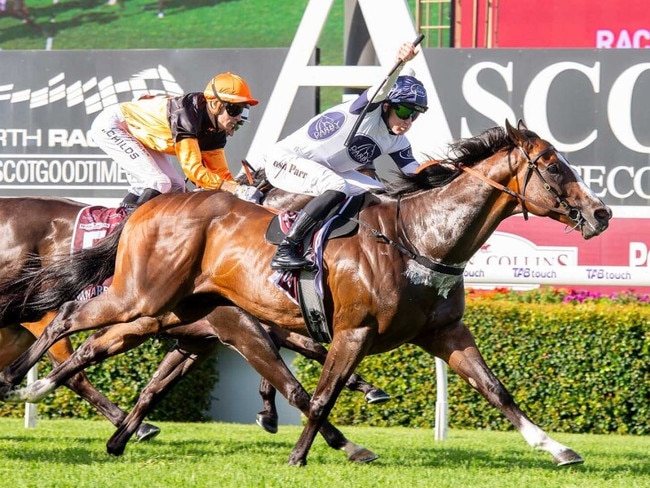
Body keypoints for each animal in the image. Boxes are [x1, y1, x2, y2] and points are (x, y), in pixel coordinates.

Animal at [0, 121, 612, 466]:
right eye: (552, 165)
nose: (601, 213)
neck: (418, 238)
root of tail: (151, 206)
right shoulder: (345, 330)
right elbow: (313, 395)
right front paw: (302, 455)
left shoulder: (445, 333)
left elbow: (499, 392)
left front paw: (559, 450)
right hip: (140, 298)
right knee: (66, 317)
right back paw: (19, 384)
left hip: (159, 313)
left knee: (87, 346)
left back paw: (60, 402)